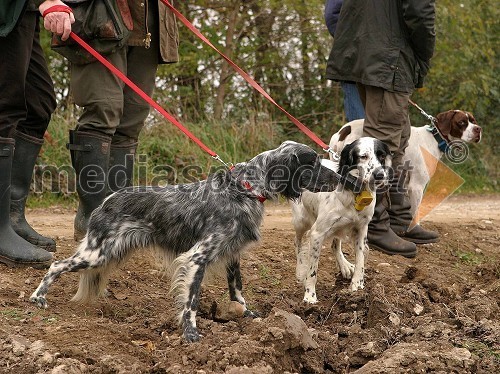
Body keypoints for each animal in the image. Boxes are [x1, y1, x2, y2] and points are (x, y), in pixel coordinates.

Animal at [30, 140, 336, 342]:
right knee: (56, 265)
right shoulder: (196, 257)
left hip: (109, 253)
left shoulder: (232, 254)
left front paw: (247, 315)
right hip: (97, 253)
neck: (244, 189)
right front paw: (191, 334)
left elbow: (237, 290)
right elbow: (191, 301)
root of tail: (106, 201)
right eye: (313, 162)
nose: (341, 176)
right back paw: (38, 298)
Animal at [292, 138, 392, 304]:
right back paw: (300, 270)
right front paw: (310, 296)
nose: (379, 175)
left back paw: (344, 265)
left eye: (382, 156)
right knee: (297, 243)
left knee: (335, 245)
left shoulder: (361, 229)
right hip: (301, 221)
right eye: (363, 156)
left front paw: (357, 285)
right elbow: (313, 270)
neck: (354, 192)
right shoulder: (317, 234)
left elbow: (360, 259)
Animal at [330, 109, 482, 218]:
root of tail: (344, 131)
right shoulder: (416, 186)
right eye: (462, 122)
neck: (435, 139)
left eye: (473, 120)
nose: (478, 129)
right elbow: (415, 213)